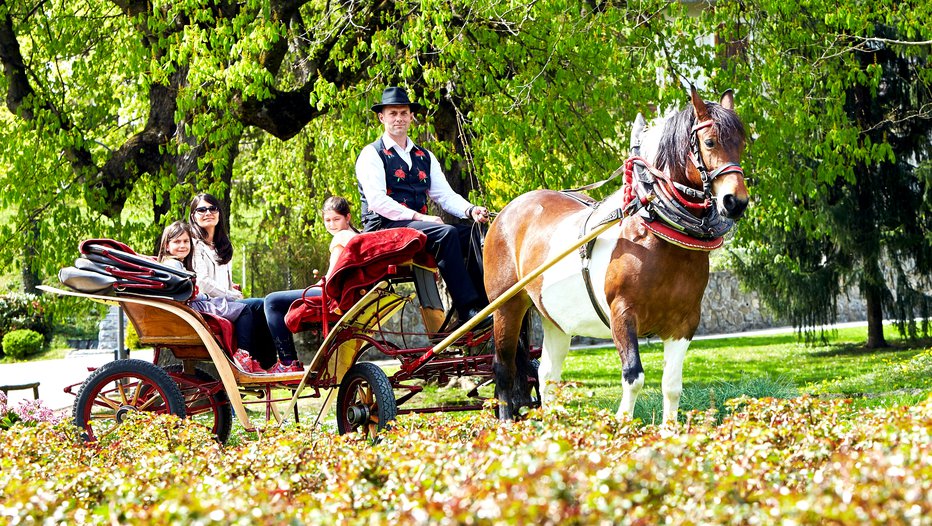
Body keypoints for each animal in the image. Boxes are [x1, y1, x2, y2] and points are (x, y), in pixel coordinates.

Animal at [484, 86, 748, 424]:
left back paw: (554, 428)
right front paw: (623, 426)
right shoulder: (623, 314)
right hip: (506, 307)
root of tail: (504, 213)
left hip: (553, 318)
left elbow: (672, 385)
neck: (657, 229)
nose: (735, 202)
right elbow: (633, 376)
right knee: (504, 368)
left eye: (742, 143)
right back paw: (505, 425)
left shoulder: (685, 322)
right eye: (710, 141)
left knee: (547, 375)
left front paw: (669, 431)